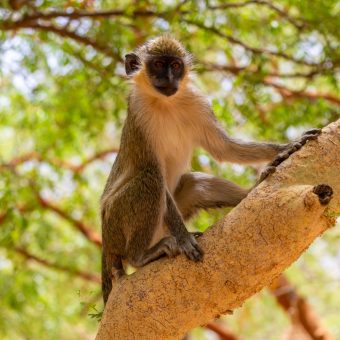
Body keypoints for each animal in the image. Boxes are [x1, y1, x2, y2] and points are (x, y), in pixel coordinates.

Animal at [99, 35, 320, 304]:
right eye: (158, 65)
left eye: (175, 66)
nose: (169, 79)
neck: (165, 103)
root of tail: (105, 243)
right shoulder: (138, 117)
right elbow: (154, 171)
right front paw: (184, 239)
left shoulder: (197, 103)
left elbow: (223, 148)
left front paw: (289, 146)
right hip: (116, 220)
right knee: (150, 179)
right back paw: (140, 255)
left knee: (194, 183)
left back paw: (252, 191)